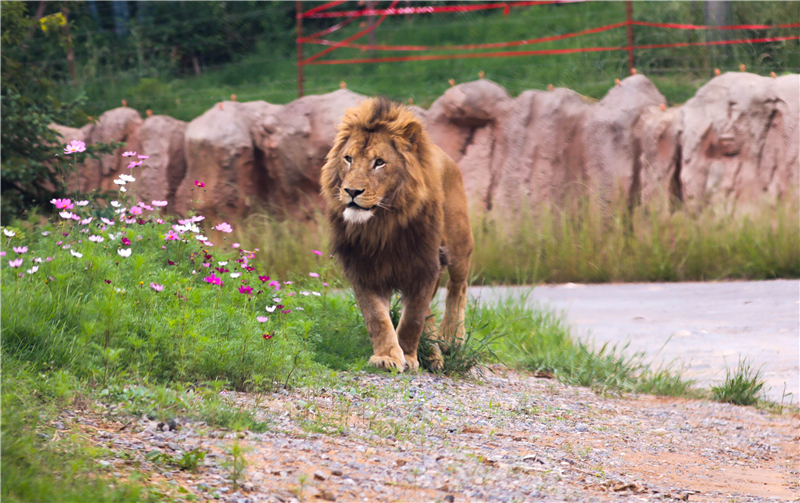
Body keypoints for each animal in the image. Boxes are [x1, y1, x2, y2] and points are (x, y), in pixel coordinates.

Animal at [320, 98, 472, 372]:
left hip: (459, 245)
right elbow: (377, 317)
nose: (351, 191)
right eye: (348, 159)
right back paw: (434, 354)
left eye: (379, 162)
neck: (382, 225)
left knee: (458, 287)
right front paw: (387, 356)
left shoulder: (425, 266)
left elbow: (413, 318)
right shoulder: (362, 268)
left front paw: (409, 358)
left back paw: (450, 338)